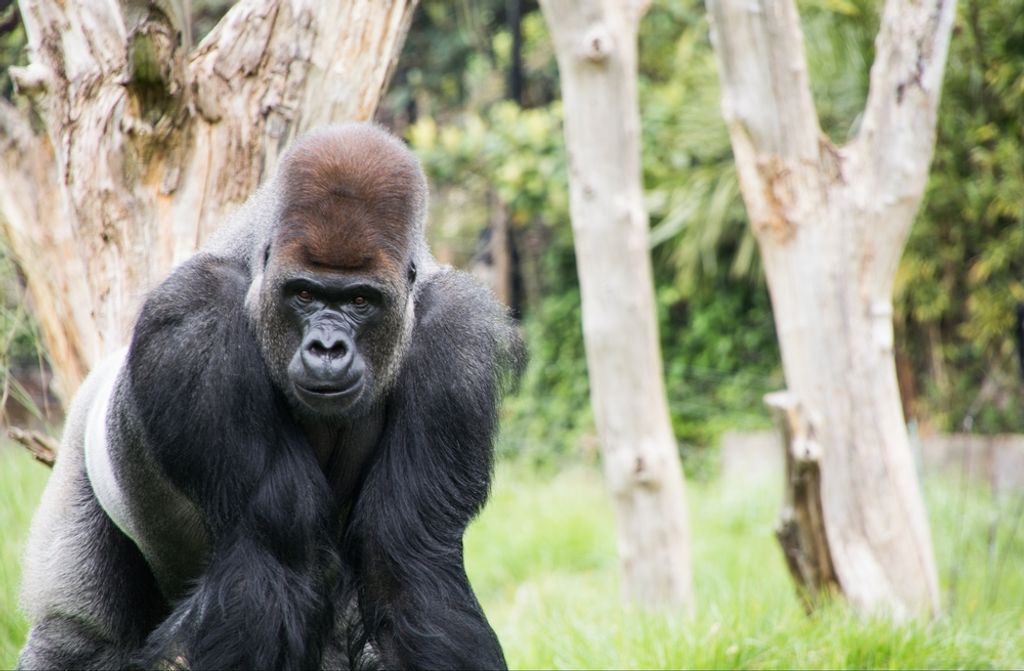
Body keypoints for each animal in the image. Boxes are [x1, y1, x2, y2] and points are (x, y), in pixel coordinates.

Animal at [18, 123, 523, 670]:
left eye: (360, 300)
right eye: (304, 294)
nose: (328, 348)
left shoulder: (457, 341)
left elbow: (408, 563)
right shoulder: (196, 318)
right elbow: (271, 551)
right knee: (74, 631)